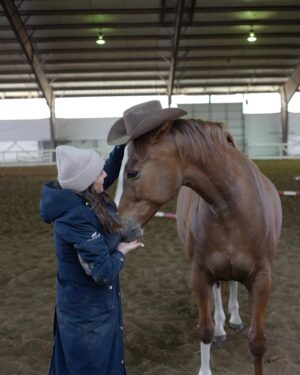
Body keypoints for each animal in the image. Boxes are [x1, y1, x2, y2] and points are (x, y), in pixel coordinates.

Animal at [116, 119, 282, 375]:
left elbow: (257, 342)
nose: (118, 227)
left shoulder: (262, 280)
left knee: (232, 284)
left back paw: (234, 318)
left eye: (132, 173)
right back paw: (223, 327)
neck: (232, 208)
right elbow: (205, 330)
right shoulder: (201, 275)